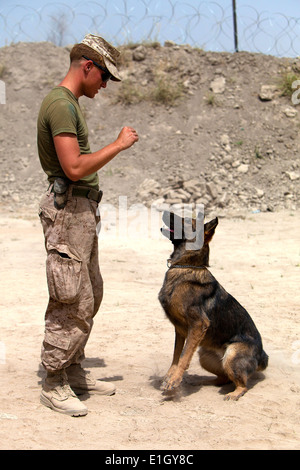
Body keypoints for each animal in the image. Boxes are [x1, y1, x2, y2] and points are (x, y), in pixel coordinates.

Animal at [158, 213, 268, 400]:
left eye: (187, 221)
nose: (166, 212)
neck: (186, 266)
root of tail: (262, 356)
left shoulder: (198, 324)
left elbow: (184, 356)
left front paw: (175, 380)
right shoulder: (180, 330)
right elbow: (176, 355)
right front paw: (170, 376)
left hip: (231, 356)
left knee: (242, 385)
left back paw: (234, 393)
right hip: (204, 355)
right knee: (223, 378)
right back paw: (203, 381)